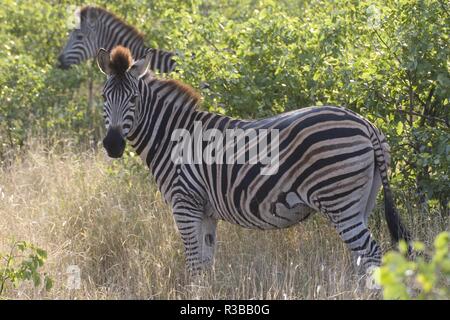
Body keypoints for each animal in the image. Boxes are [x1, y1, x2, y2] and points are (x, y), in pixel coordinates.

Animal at [96, 46, 412, 276]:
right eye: (103, 97)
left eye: (134, 98)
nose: (112, 145)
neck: (173, 137)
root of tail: (366, 125)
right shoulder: (206, 211)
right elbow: (206, 264)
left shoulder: (185, 204)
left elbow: (194, 265)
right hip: (362, 200)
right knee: (364, 257)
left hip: (339, 199)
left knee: (372, 253)